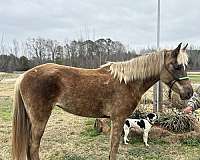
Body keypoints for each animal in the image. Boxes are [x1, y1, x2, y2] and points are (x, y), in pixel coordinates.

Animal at [12, 42, 192, 160]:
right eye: (177, 66)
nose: (189, 93)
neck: (127, 82)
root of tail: (24, 75)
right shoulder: (118, 119)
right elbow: (114, 148)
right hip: (40, 119)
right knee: (33, 147)